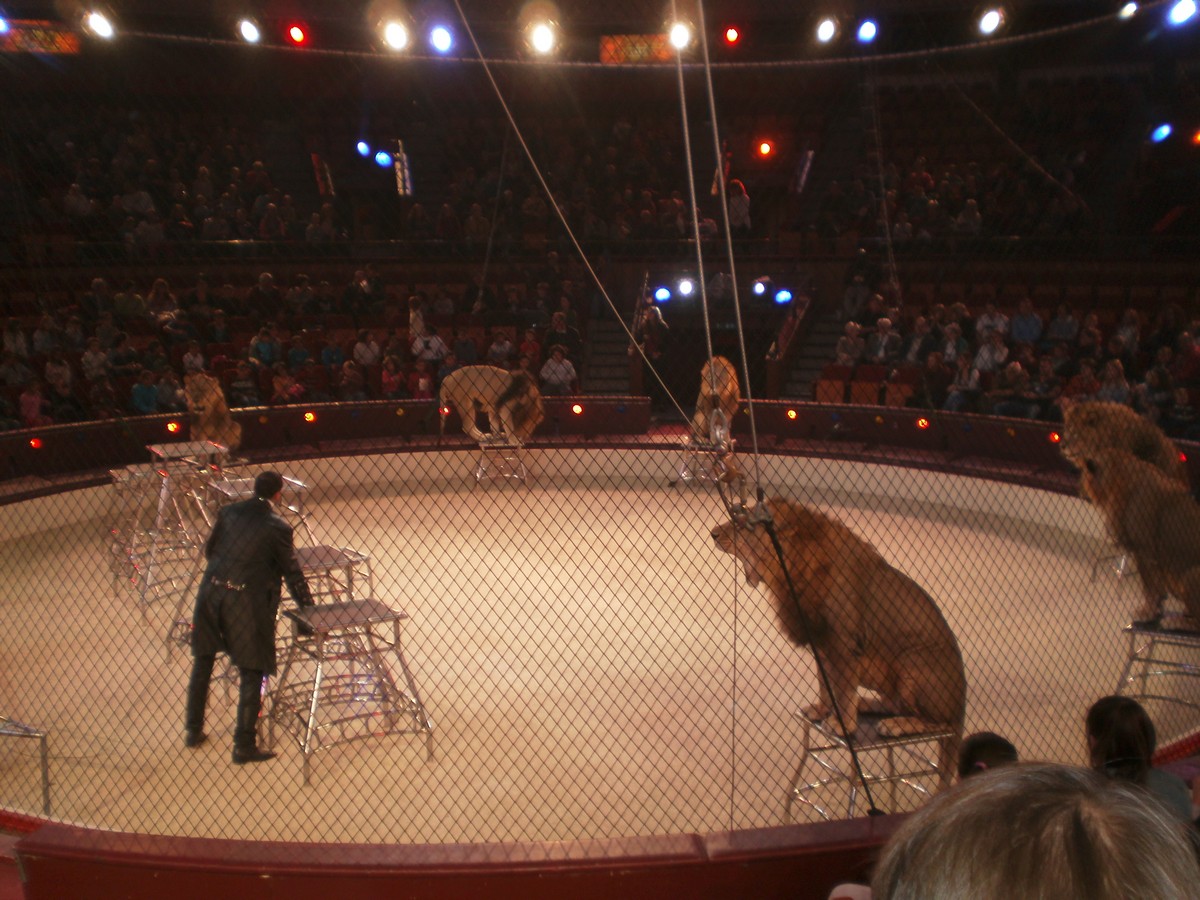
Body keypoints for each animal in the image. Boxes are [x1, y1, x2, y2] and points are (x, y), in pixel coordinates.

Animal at [712, 498, 966, 766]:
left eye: (742, 524)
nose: (713, 533)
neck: (788, 569)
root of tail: (962, 705)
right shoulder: (820, 642)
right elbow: (825, 684)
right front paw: (822, 710)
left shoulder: (844, 643)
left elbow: (843, 689)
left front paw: (841, 723)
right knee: (896, 704)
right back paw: (866, 703)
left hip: (913, 660)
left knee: (939, 722)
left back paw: (896, 724)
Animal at [1079, 448, 1200, 624]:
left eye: (1083, 475)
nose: (1080, 491)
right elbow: (1156, 587)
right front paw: (1156, 608)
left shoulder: (1144, 549)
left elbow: (1149, 586)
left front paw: (1146, 613)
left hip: (1191, 576)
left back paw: (1176, 621)